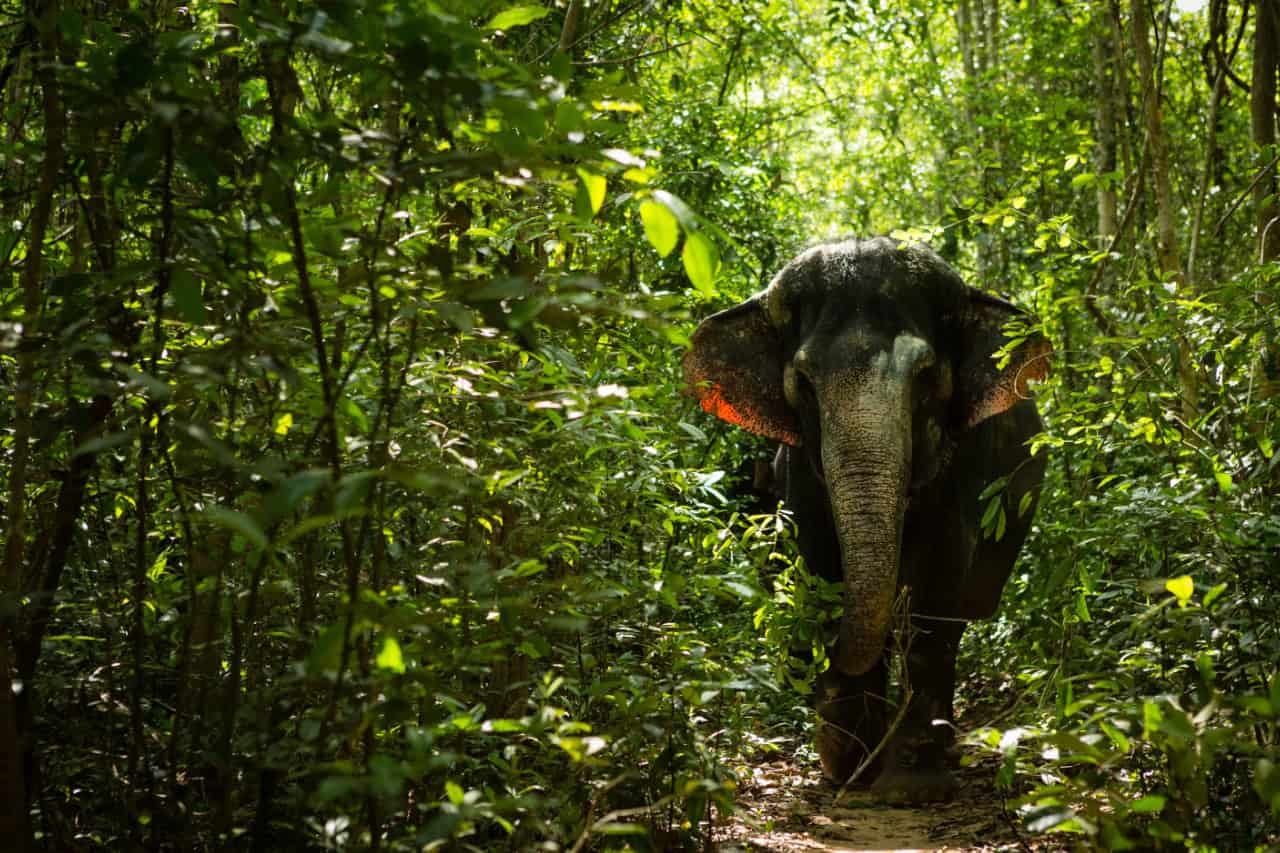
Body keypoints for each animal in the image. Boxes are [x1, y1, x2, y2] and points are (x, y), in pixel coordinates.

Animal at [683, 237, 1048, 803]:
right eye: (804, 383)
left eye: (925, 376)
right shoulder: (798, 469)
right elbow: (819, 559)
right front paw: (849, 764)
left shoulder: (967, 458)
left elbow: (937, 589)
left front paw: (912, 787)